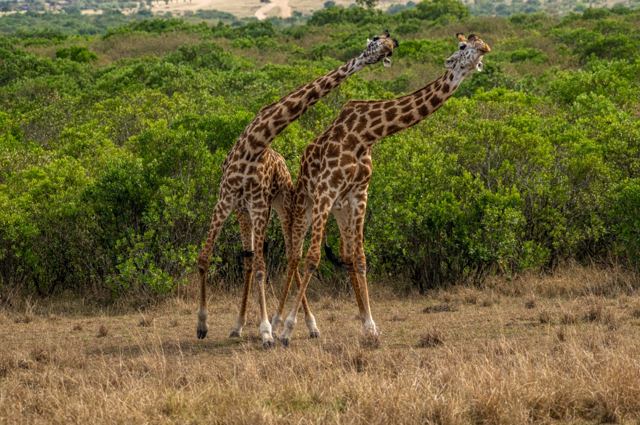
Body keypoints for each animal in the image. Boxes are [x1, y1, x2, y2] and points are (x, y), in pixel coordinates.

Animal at [196, 31, 398, 349]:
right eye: (374, 44)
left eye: (385, 48)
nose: (387, 50)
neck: (255, 143)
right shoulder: (224, 200)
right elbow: (205, 258)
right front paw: (202, 325)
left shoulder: (259, 204)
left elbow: (264, 267)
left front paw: (267, 330)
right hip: (243, 212)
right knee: (250, 261)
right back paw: (239, 326)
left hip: (278, 208)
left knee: (284, 257)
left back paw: (307, 326)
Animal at [274, 33, 491, 346]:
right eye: (463, 46)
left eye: (480, 44)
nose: (485, 49)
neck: (366, 134)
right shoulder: (326, 189)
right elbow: (313, 259)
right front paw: (288, 329)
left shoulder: (358, 194)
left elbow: (360, 259)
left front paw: (370, 326)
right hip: (307, 206)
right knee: (294, 256)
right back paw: (278, 324)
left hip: (340, 210)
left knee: (345, 255)